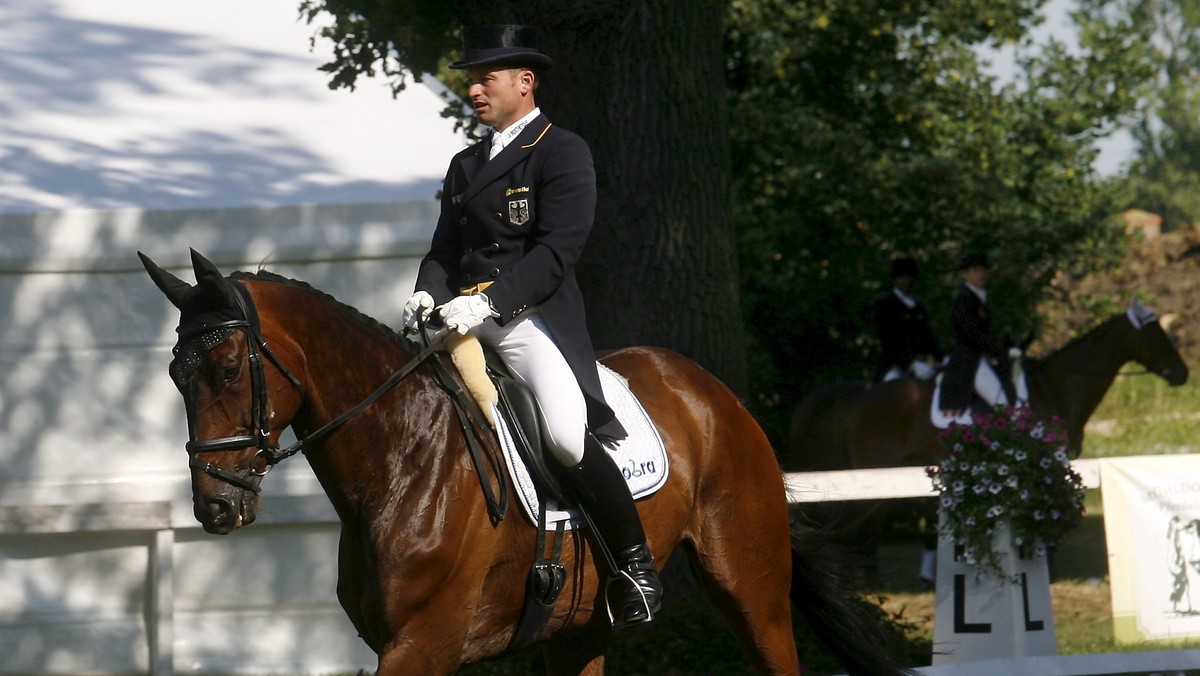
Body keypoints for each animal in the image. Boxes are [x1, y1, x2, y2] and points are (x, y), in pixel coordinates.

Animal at [138, 249, 902, 676]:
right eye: (174, 375)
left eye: (228, 369)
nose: (216, 506)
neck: (402, 456)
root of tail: (712, 392)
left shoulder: (424, 643)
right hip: (579, 628)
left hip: (752, 589)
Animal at [782, 301, 1185, 581]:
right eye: (1156, 336)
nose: (1182, 373)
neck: (1055, 387)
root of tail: (857, 397)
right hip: (872, 472)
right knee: (860, 528)